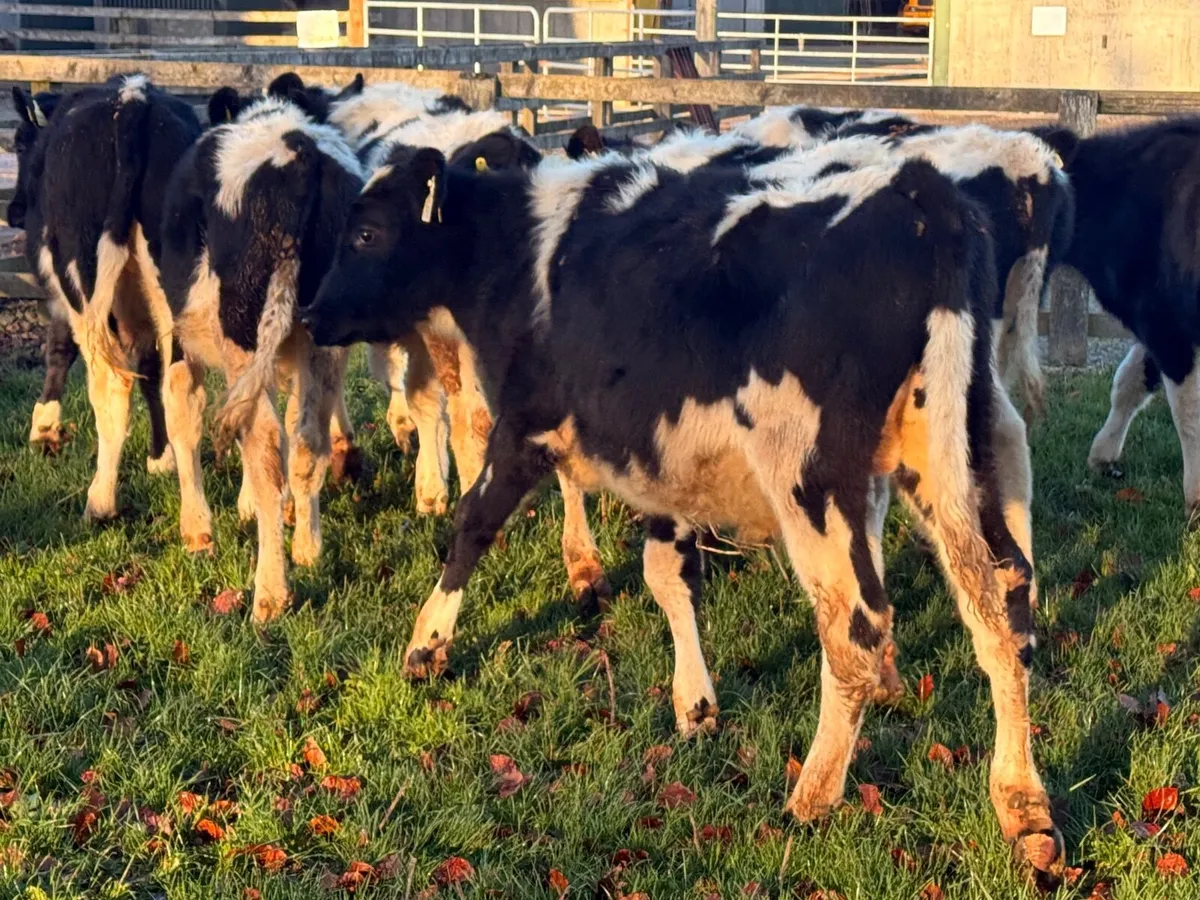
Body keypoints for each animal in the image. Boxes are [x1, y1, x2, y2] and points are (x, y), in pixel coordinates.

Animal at [12, 74, 203, 520]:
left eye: (18, 143)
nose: (12, 211)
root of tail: (133, 99)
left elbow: (59, 346)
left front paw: (44, 425)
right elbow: (151, 368)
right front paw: (161, 457)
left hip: (84, 279)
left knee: (111, 385)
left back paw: (99, 502)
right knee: (181, 384)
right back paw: (196, 518)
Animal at [157, 89, 365, 621]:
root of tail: (297, 149)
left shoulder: (176, 337)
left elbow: (183, 415)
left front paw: (198, 529)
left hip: (243, 337)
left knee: (266, 444)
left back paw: (270, 592)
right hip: (321, 341)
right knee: (308, 439)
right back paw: (308, 548)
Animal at [297, 143, 1062, 878]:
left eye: (366, 232)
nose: (310, 314)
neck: (516, 256)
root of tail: (919, 190)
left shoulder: (526, 424)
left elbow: (472, 525)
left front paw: (426, 644)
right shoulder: (663, 460)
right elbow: (668, 576)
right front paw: (695, 703)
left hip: (810, 474)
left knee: (857, 627)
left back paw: (812, 795)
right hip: (966, 449)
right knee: (1004, 604)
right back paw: (1024, 810)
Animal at [1035, 119, 1200, 518]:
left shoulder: (1167, 327)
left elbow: (1187, 412)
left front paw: (1196, 499)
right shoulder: (1154, 318)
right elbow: (1129, 382)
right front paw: (1103, 456)